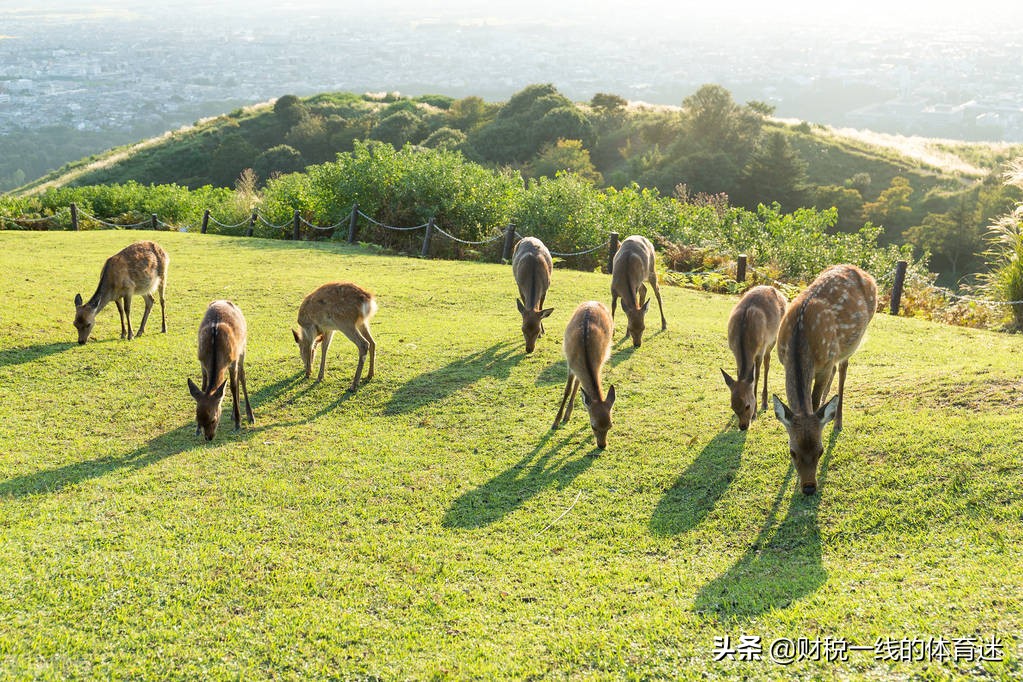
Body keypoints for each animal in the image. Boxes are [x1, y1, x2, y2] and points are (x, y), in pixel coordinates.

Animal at [188, 300, 253, 439]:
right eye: (198, 418)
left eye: (213, 419)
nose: (209, 438)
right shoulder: (202, 362)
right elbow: (203, 387)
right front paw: (197, 430)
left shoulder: (233, 360)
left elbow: (233, 387)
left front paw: (238, 424)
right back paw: (233, 414)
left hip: (243, 347)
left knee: (241, 376)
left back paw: (249, 416)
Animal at [552, 300, 613, 449]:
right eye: (593, 426)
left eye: (610, 426)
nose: (602, 445)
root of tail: (593, 302)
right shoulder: (570, 364)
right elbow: (567, 390)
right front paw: (555, 422)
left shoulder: (600, 363)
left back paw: (568, 414)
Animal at [724, 286, 785, 429]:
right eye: (732, 407)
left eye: (748, 406)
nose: (743, 426)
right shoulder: (734, 351)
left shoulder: (760, 350)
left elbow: (756, 377)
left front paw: (755, 413)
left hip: (773, 337)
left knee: (767, 363)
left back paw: (765, 403)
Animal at [769, 263, 875, 496]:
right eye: (792, 452)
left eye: (821, 450)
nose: (809, 487)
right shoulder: (783, 360)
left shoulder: (825, 364)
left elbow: (815, 400)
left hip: (850, 344)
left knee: (843, 368)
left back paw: (837, 421)